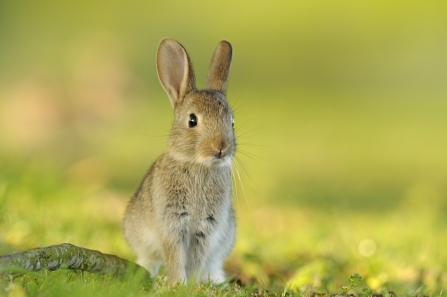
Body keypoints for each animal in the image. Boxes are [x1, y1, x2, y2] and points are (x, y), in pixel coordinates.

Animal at [122, 37, 238, 284]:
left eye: (232, 122)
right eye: (192, 120)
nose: (221, 147)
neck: (198, 165)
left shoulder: (207, 229)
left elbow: (195, 259)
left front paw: (190, 284)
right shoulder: (171, 223)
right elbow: (174, 255)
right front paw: (178, 283)